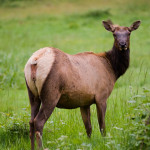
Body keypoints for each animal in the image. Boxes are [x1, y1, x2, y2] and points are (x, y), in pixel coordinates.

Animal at [24, 20, 141, 150]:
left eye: (128, 33)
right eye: (114, 34)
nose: (122, 44)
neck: (112, 69)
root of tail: (35, 61)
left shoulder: (84, 102)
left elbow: (88, 128)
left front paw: (88, 144)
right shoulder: (101, 96)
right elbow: (102, 126)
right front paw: (106, 143)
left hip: (32, 94)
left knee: (31, 121)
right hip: (50, 94)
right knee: (39, 122)